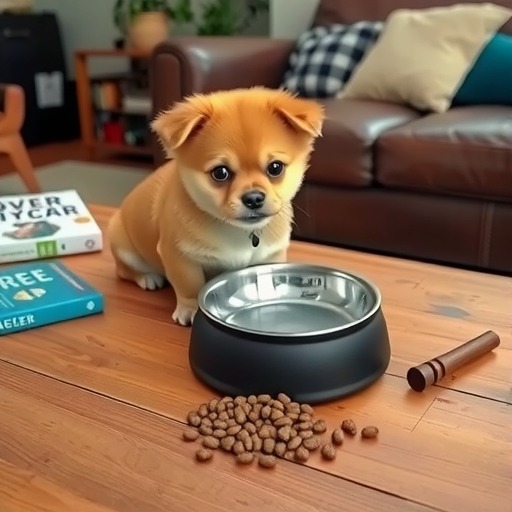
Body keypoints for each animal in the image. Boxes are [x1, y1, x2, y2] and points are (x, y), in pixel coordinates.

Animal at [107, 86, 324, 326]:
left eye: (275, 168)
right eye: (220, 173)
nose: (254, 198)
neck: (238, 231)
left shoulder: (271, 254)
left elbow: (268, 279)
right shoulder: (179, 257)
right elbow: (189, 286)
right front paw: (190, 310)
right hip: (124, 248)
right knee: (124, 271)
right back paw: (147, 278)